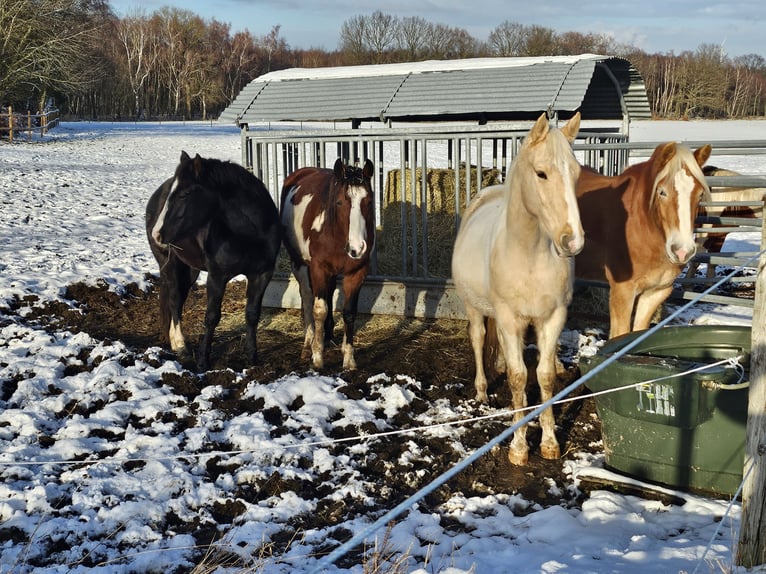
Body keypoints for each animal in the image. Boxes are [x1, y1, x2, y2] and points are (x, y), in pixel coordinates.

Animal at [146, 151, 281, 371]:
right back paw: (180, 344)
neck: (249, 234)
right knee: (174, 299)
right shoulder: (217, 276)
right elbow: (211, 317)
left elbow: (252, 314)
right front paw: (203, 362)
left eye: (185, 194)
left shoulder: (262, 275)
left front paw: (252, 358)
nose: (157, 233)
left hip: (189, 269)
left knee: (179, 299)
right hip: (170, 264)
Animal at [280, 158, 375, 370]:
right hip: (300, 264)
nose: (357, 248)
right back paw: (309, 343)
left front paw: (348, 358)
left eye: (369, 201)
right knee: (307, 297)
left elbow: (349, 312)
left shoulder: (357, 272)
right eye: (339, 202)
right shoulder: (319, 269)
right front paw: (317, 357)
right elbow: (319, 310)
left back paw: (328, 336)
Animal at [451, 112, 583, 466]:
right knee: (479, 339)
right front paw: (519, 447)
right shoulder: (509, 319)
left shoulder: (552, 318)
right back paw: (482, 390)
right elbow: (518, 377)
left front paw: (549, 442)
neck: (530, 255)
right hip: (474, 308)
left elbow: (545, 375)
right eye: (541, 173)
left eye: (576, 173)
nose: (573, 241)